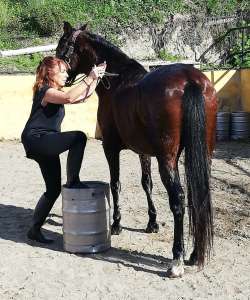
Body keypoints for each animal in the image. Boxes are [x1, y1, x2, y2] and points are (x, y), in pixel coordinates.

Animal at [56, 22, 217, 278]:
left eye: (63, 45)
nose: (62, 77)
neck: (119, 81)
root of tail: (190, 79)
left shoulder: (110, 147)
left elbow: (115, 184)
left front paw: (116, 224)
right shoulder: (144, 152)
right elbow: (146, 183)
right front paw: (152, 223)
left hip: (168, 159)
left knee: (178, 199)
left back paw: (177, 260)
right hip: (203, 155)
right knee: (197, 196)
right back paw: (194, 255)